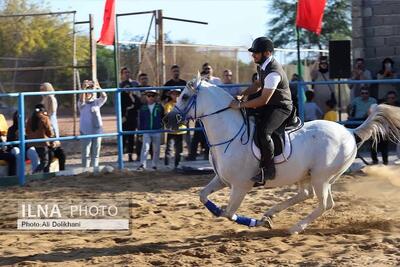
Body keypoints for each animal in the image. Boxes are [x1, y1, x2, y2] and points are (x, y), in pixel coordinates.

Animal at [162, 74, 400, 234]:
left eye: (185, 97)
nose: (167, 120)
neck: (229, 134)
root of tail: (350, 132)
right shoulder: (222, 179)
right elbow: (203, 197)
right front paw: (261, 219)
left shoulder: (240, 186)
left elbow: (228, 213)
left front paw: (258, 223)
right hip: (309, 176)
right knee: (307, 195)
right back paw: (272, 212)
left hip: (321, 177)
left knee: (324, 204)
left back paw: (295, 227)